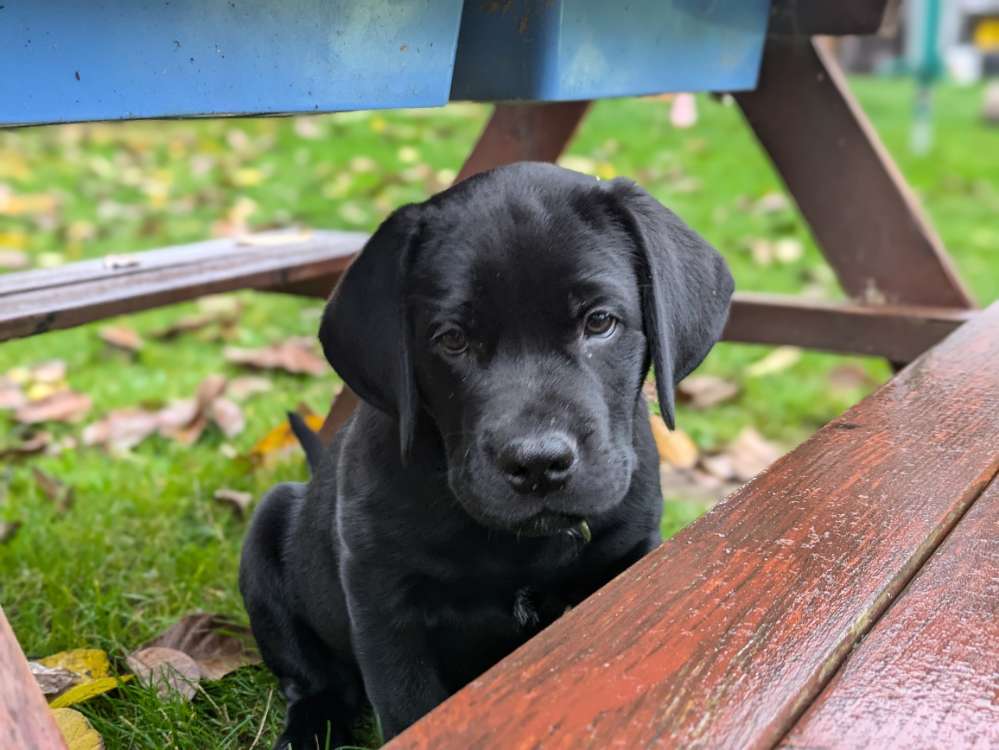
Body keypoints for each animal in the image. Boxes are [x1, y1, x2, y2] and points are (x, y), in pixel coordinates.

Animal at [238, 162, 732, 748]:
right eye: (452, 339)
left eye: (600, 322)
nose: (539, 463)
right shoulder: (382, 599)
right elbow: (410, 708)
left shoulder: (628, 554)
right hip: (265, 543)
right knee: (313, 680)